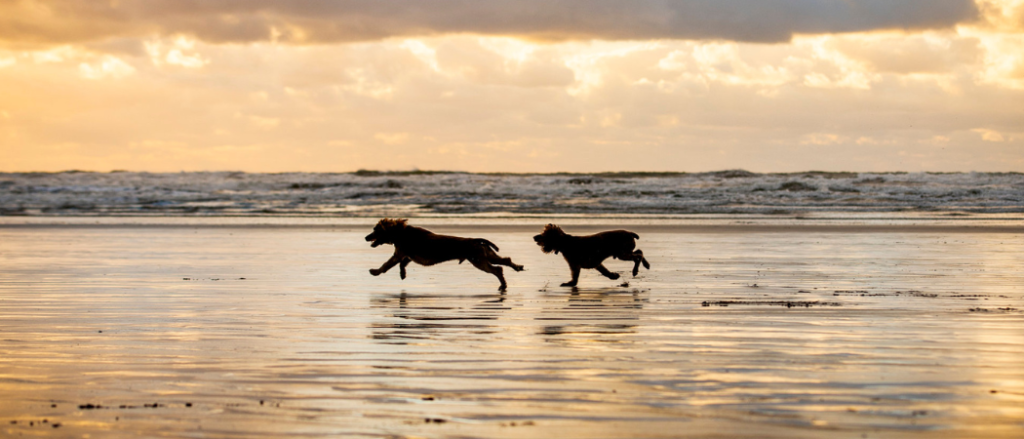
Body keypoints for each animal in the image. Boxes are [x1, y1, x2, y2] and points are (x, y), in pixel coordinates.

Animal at [364, 216, 524, 288]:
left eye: (375, 230)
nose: (366, 237)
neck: (400, 232)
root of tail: (476, 240)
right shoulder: (407, 255)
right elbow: (402, 264)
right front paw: (402, 274)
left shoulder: (399, 254)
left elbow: (386, 264)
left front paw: (375, 271)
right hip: (487, 255)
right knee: (505, 261)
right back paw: (517, 268)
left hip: (479, 260)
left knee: (497, 269)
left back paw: (503, 283)